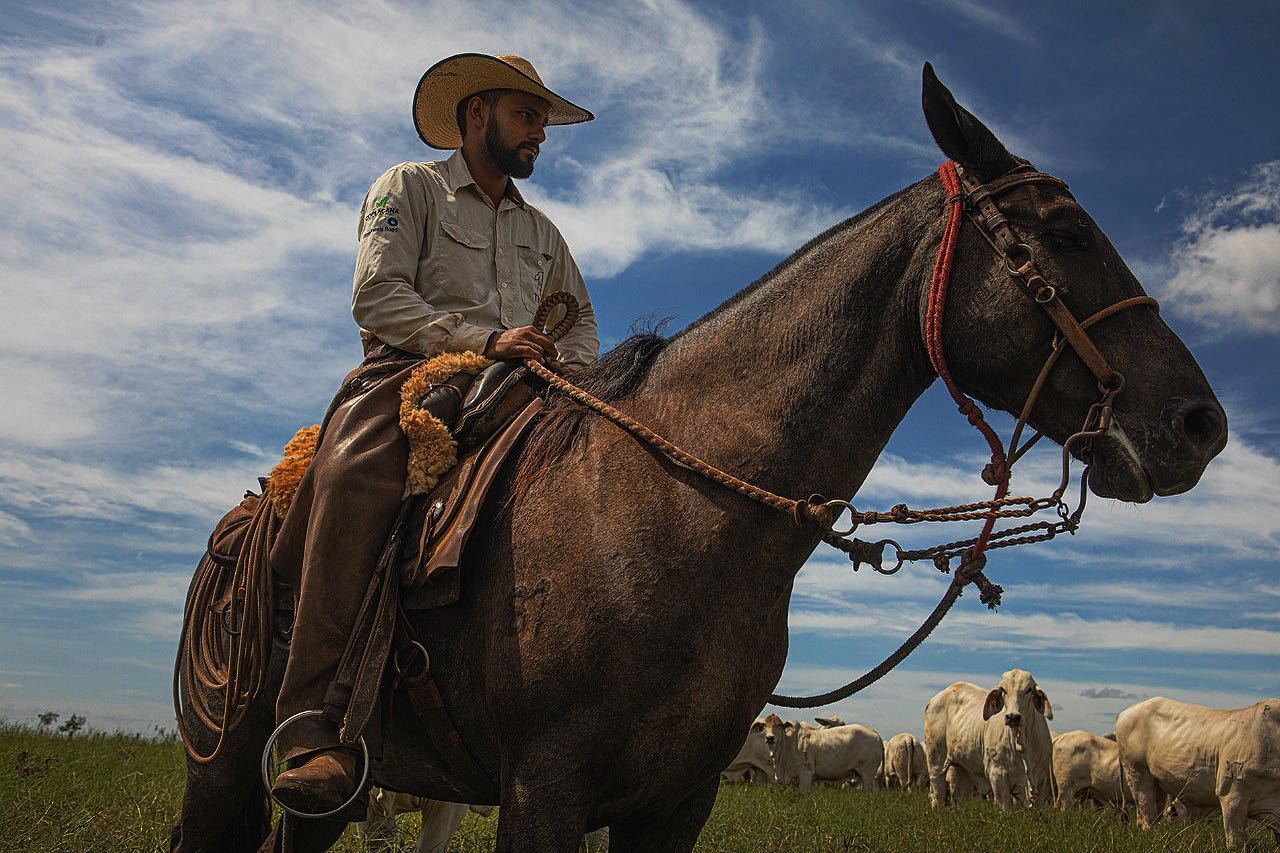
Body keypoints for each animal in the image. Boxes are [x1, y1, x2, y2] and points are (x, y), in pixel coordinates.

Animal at [926, 666, 1054, 809]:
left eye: (1029, 689)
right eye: (1003, 689)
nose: (1012, 717)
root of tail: (936, 698)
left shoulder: (1041, 783)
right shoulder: (998, 776)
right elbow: (1005, 807)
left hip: (962, 769)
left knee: (961, 798)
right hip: (935, 762)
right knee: (937, 795)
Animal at [1111, 691, 1280, 845]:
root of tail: (1125, 712)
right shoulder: (1232, 796)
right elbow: (1235, 841)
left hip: (1156, 784)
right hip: (1137, 772)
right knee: (1147, 815)